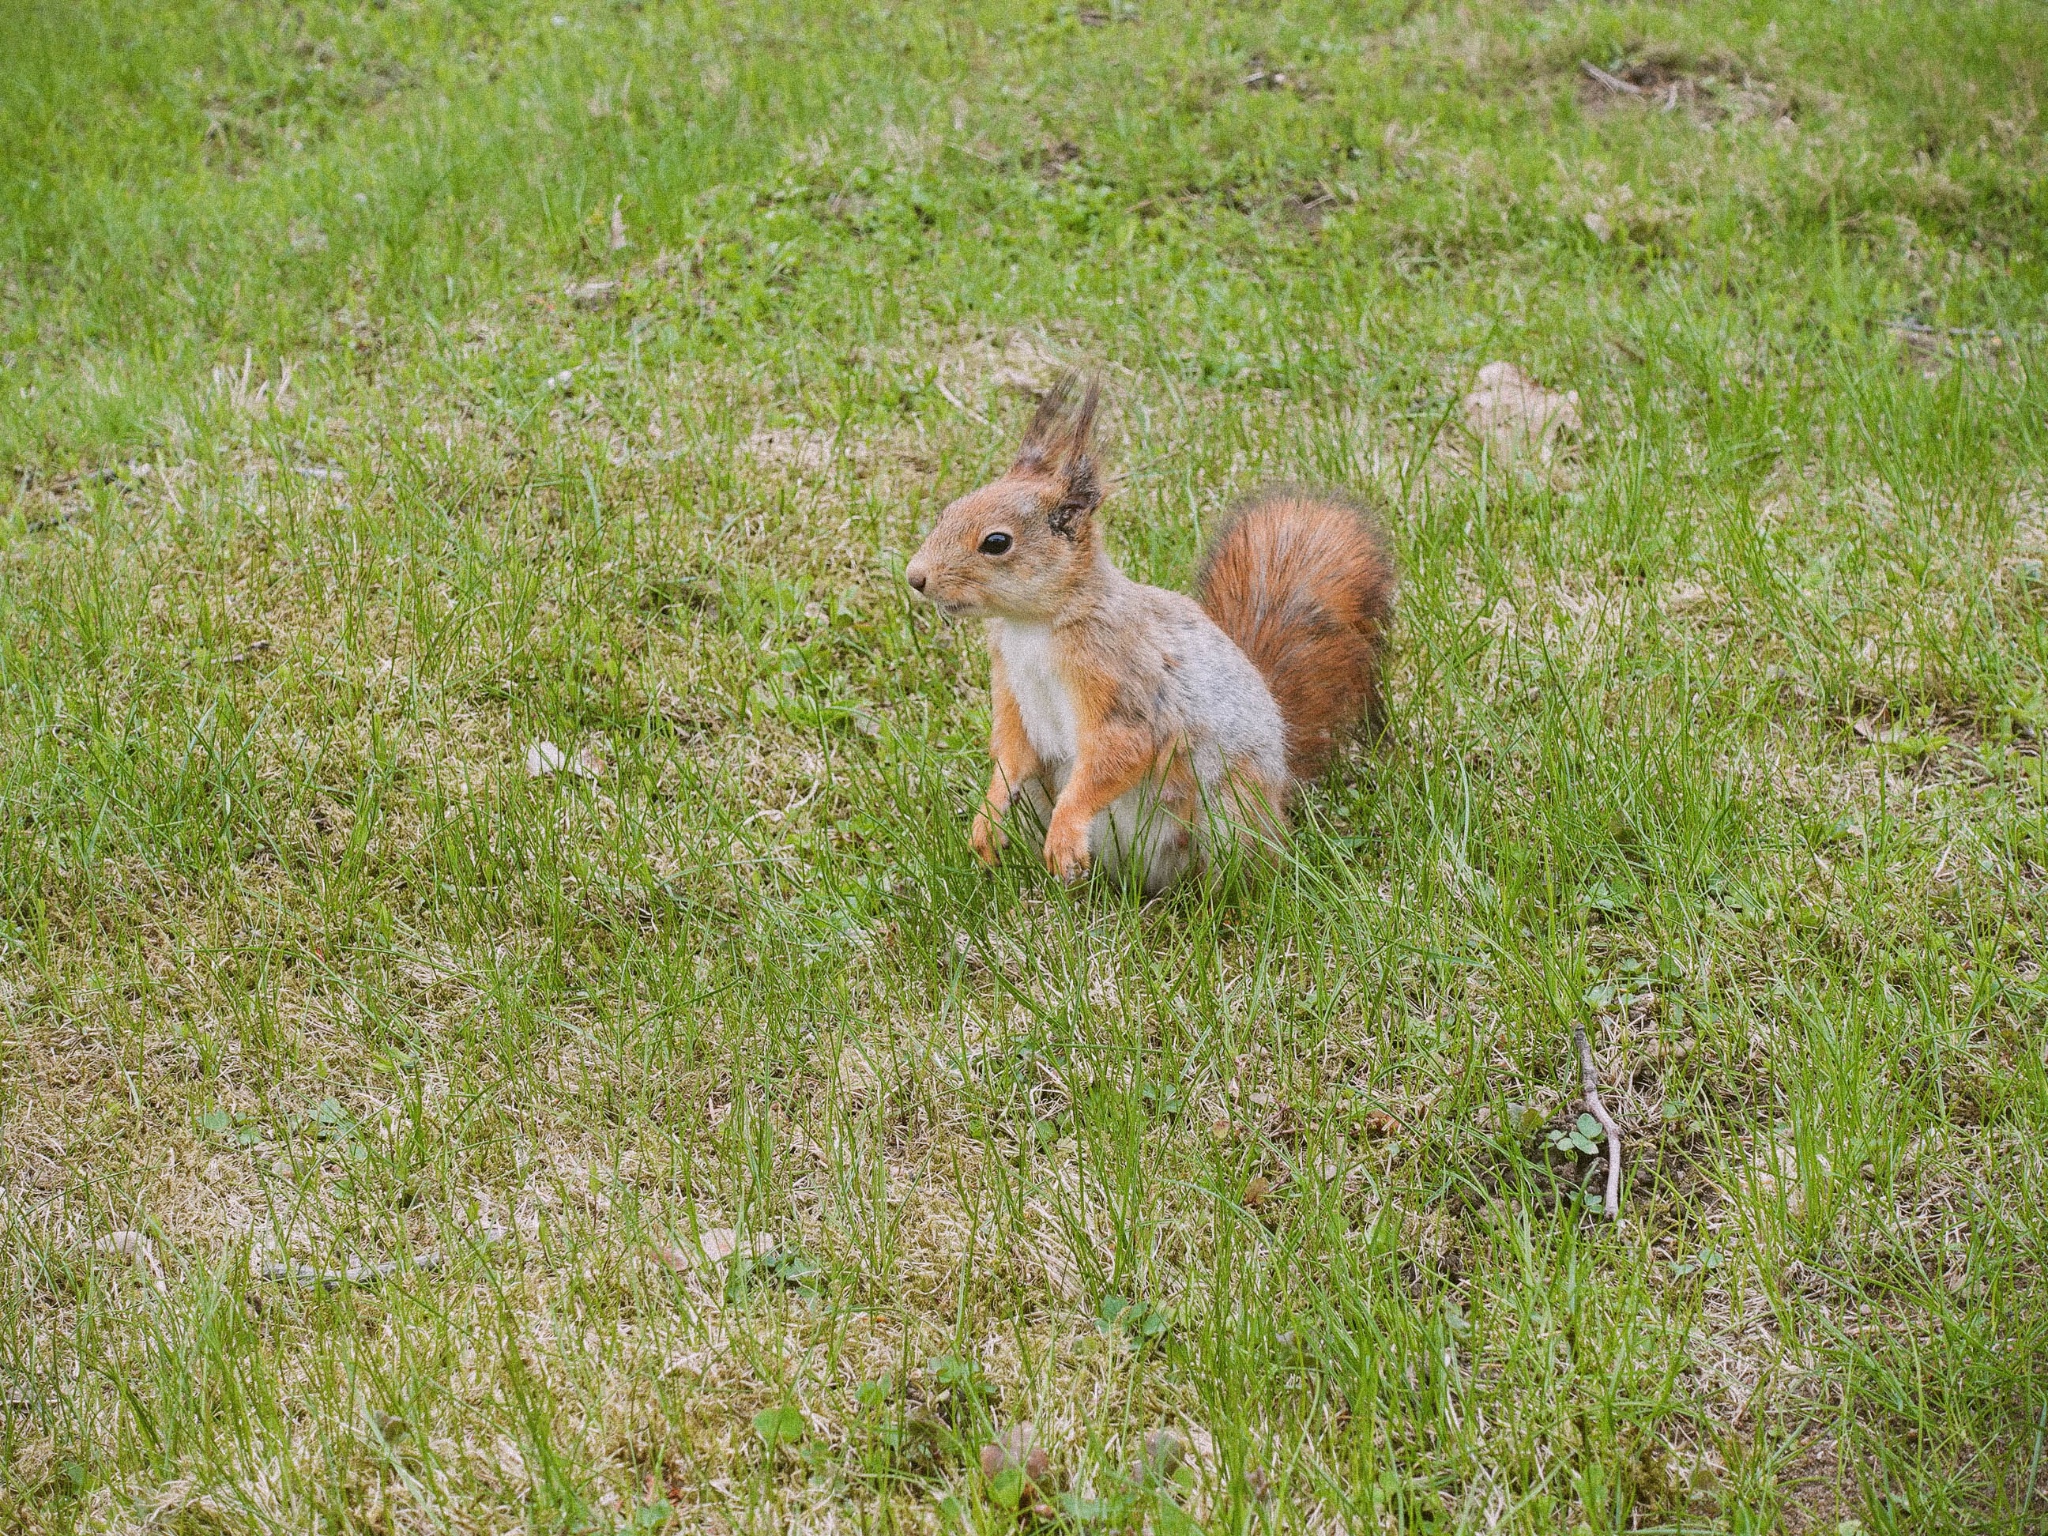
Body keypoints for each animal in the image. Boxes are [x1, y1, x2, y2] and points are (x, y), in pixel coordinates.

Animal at [909, 376, 1400, 897]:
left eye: (997, 542)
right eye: (948, 512)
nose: (915, 577)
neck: (1034, 627)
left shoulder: (1120, 676)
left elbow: (1121, 751)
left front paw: (1065, 831)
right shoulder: (1010, 684)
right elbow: (1011, 752)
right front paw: (986, 822)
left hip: (1226, 812)